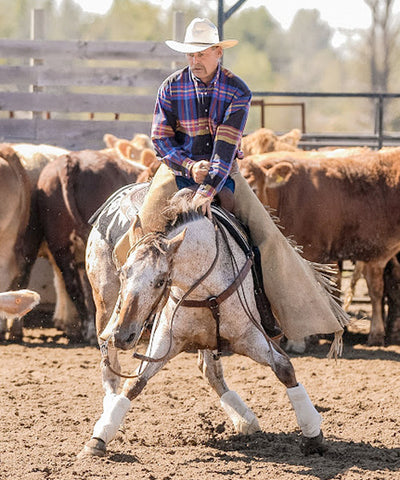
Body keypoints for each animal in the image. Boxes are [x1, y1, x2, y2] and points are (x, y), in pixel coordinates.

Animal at [79, 183, 328, 458]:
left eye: (161, 280)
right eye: (123, 272)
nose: (124, 335)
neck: (203, 289)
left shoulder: (249, 336)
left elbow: (284, 368)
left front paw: (313, 434)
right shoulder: (164, 340)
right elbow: (134, 384)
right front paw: (98, 438)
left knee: (211, 372)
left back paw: (246, 420)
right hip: (104, 307)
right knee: (109, 368)